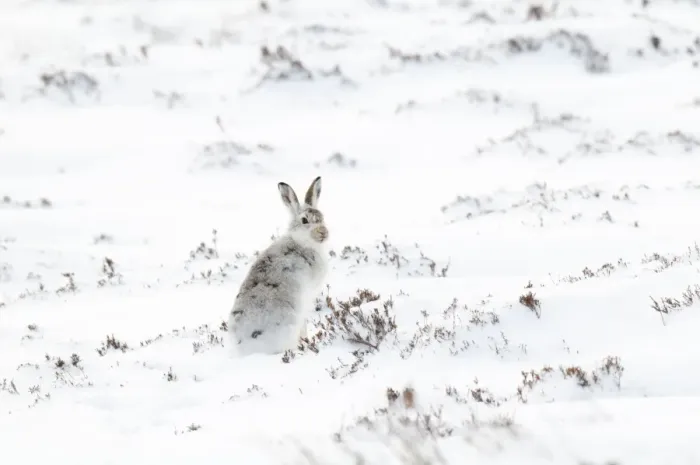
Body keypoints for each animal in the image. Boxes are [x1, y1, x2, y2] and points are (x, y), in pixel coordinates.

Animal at [228, 176, 329, 356]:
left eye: (322, 217)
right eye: (305, 220)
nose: (323, 233)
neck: (303, 242)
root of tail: (248, 347)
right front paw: (307, 341)